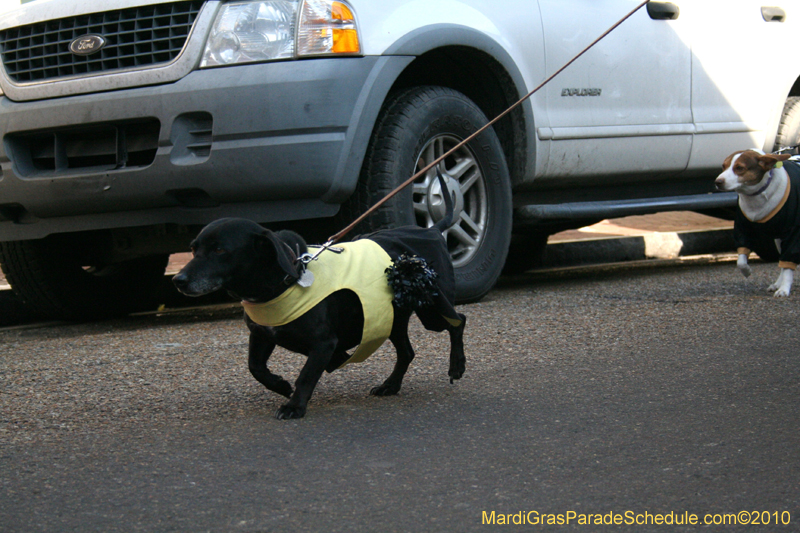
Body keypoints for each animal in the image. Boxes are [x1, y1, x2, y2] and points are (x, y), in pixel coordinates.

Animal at [172, 172, 466, 418]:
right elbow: (255, 367)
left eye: (220, 250)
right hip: (389, 319)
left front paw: (294, 406)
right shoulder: (262, 335)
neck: (283, 281)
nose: (178, 280)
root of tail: (432, 230)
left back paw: (457, 365)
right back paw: (390, 385)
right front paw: (281, 385)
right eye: (193, 248)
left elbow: (306, 374)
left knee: (458, 322)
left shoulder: (323, 343)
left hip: (432, 309)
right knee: (407, 352)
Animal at [712, 150, 800, 298]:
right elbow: (741, 260)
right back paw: (777, 283)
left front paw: (784, 289)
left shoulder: (793, 233)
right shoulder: (743, 229)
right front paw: (746, 271)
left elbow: (788, 264)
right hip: (778, 240)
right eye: (723, 166)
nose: (718, 182)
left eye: (739, 168)